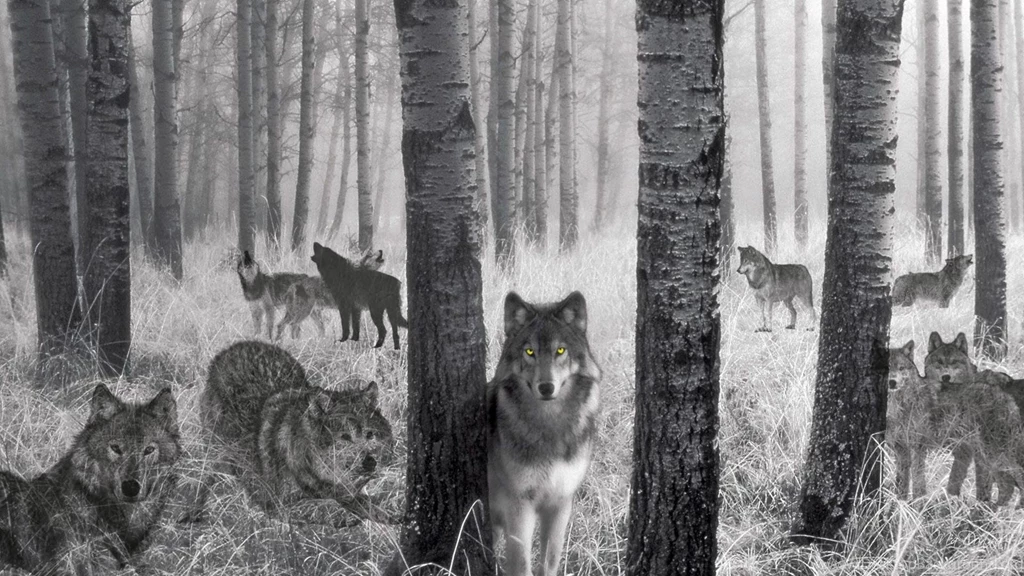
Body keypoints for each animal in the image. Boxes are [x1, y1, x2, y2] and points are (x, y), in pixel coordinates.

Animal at [487, 291, 601, 576]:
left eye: (560, 350)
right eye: (530, 352)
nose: (546, 387)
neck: (550, 426)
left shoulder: (561, 502)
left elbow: (550, 560)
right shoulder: (520, 505)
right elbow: (521, 564)